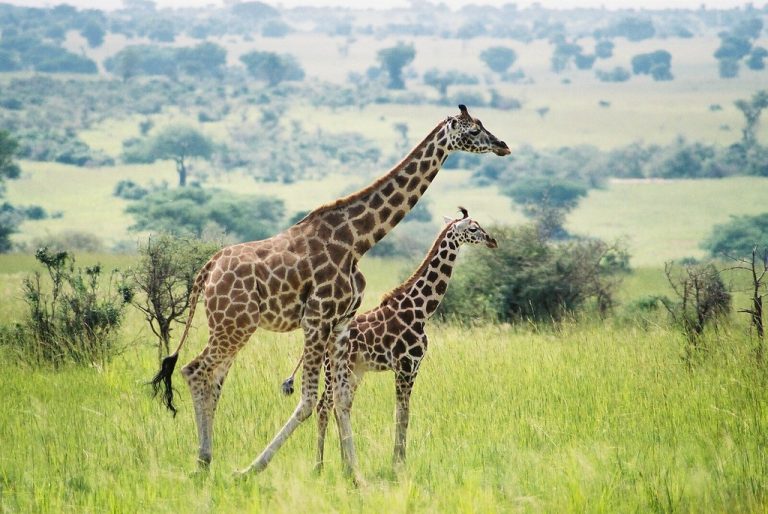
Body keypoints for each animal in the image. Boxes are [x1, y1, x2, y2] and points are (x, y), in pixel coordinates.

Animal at [281, 208, 498, 469]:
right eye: (473, 228)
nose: (493, 241)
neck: (420, 310)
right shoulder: (405, 366)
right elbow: (402, 413)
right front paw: (398, 463)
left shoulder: (414, 367)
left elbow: (402, 413)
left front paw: (398, 460)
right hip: (336, 368)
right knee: (324, 406)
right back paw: (319, 466)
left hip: (355, 371)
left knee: (339, 406)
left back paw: (344, 463)